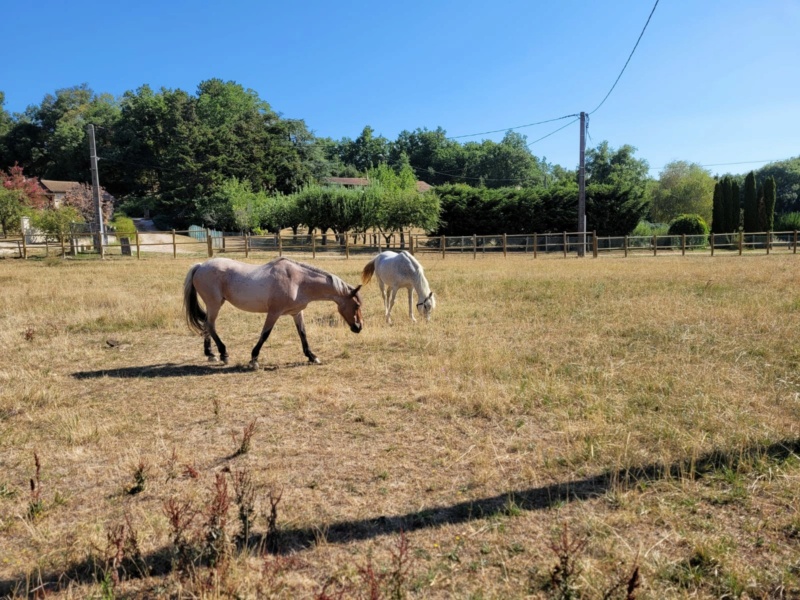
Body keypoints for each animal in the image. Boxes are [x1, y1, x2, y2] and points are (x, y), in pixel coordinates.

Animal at [184, 256, 362, 368]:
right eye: (356, 305)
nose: (359, 327)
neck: (297, 281)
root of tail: (201, 266)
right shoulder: (274, 313)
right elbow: (265, 334)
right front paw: (254, 359)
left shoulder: (296, 313)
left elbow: (303, 334)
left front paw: (312, 356)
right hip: (215, 304)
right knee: (210, 325)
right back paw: (223, 353)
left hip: (212, 305)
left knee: (206, 324)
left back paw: (210, 353)